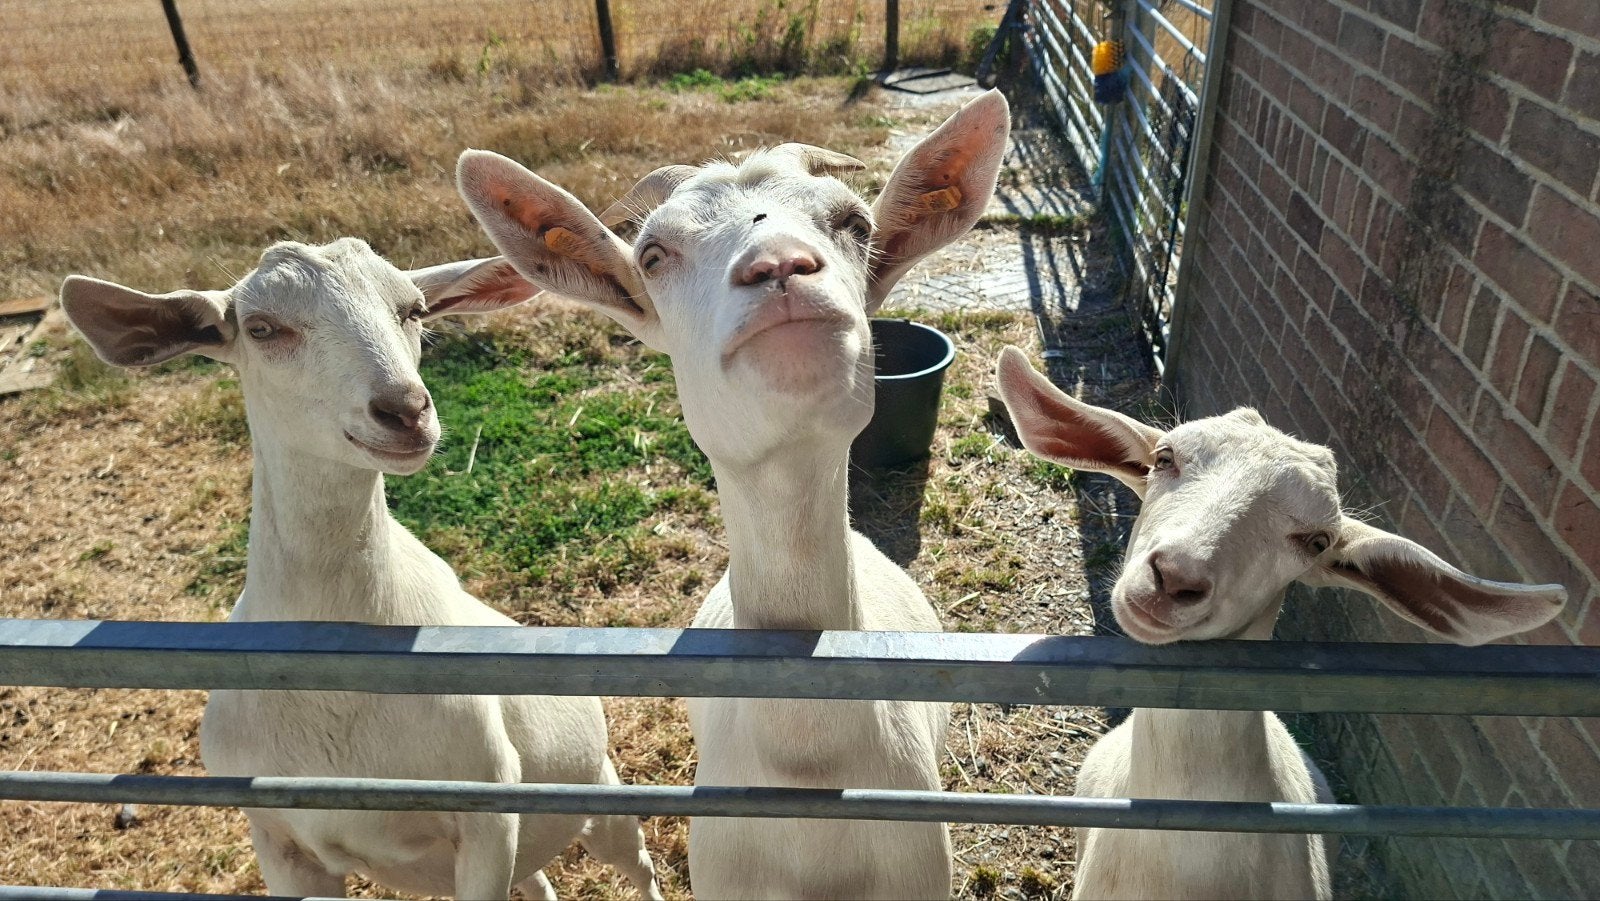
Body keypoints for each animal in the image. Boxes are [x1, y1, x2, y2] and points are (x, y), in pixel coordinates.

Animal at [61, 239, 663, 901]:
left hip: (599, 800)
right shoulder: (282, 842)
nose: (406, 409)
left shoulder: (487, 815)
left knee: (639, 866)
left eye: (414, 309)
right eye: (261, 327)